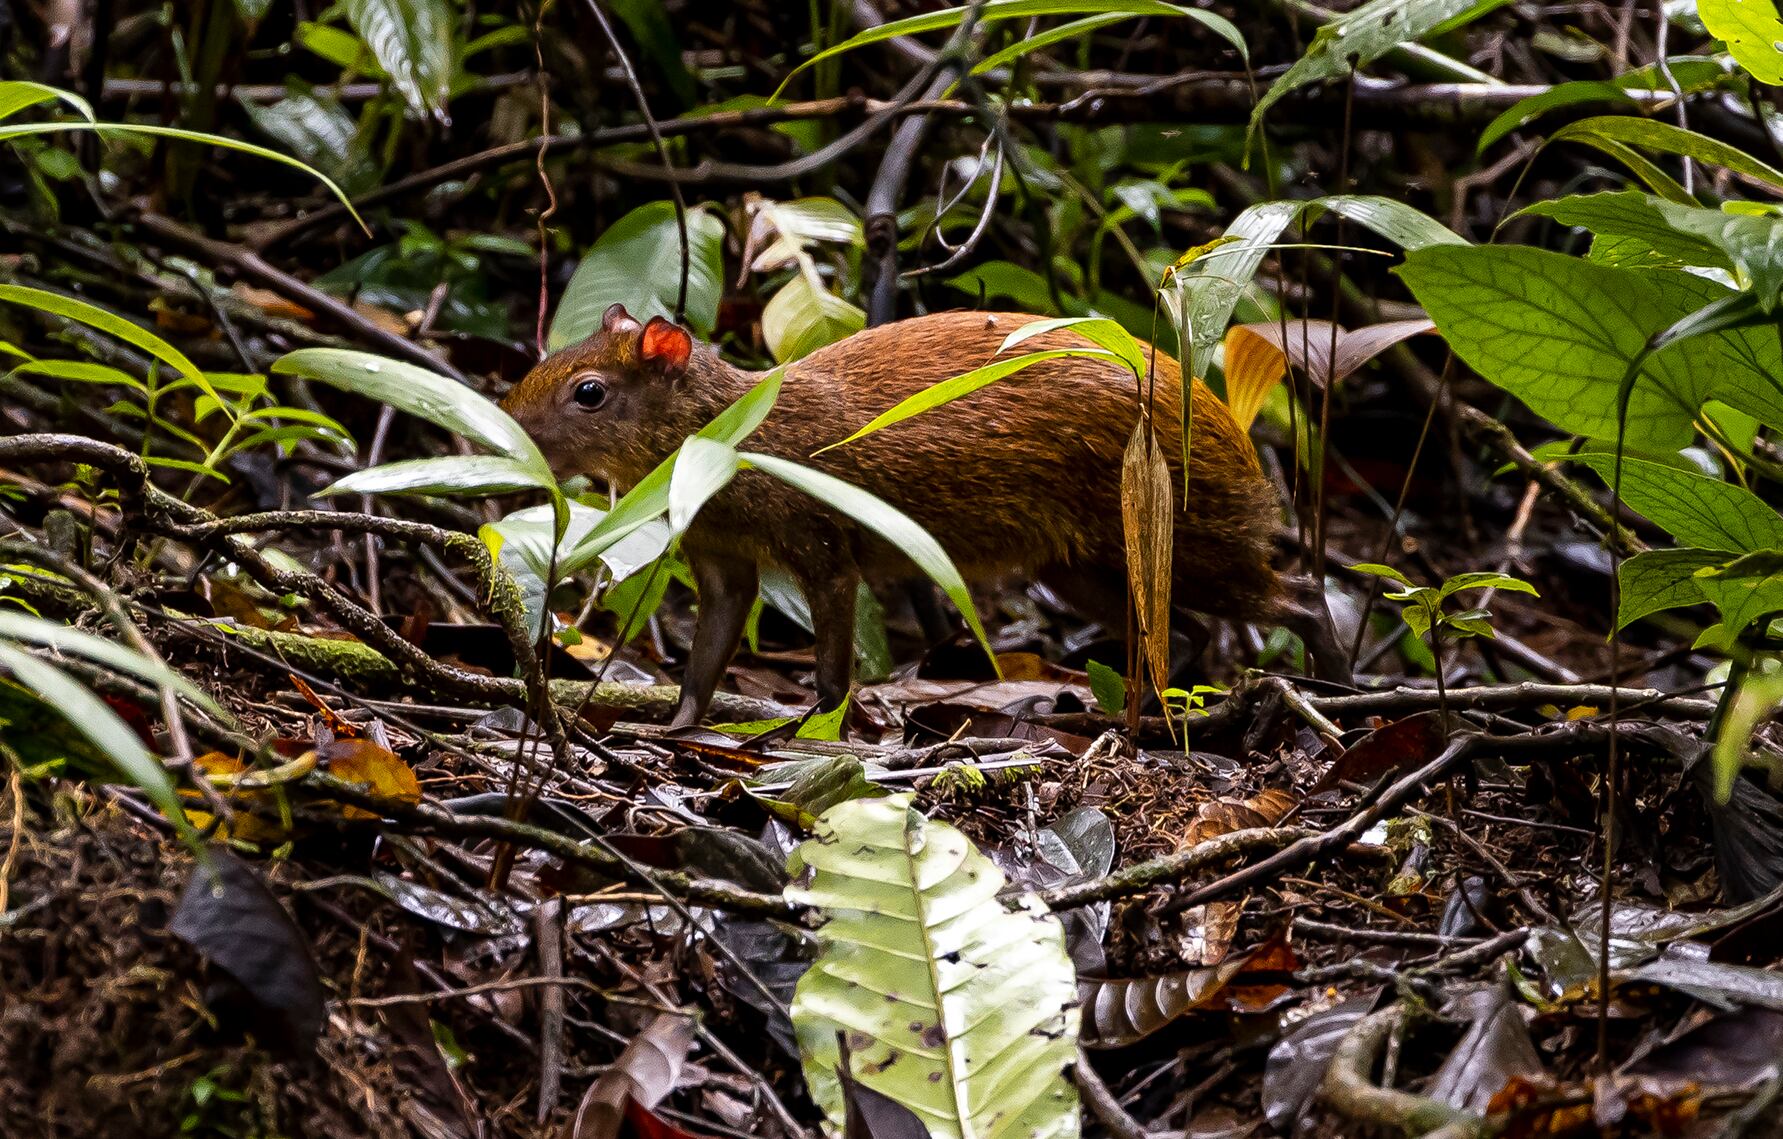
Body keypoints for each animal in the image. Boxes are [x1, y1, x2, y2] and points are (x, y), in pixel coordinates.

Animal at [501, 303, 1345, 727]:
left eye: (588, 392)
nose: (499, 424)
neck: (736, 442)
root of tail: (1241, 444)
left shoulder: (823, 546)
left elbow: (832, 666)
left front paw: (821, 734)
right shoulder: (722, 563)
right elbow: (703, 662)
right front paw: (675, 730)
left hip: (1195, 537)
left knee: (1300, 595)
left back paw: (1332, 691)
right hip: (1079, 566)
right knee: (1183, 629)